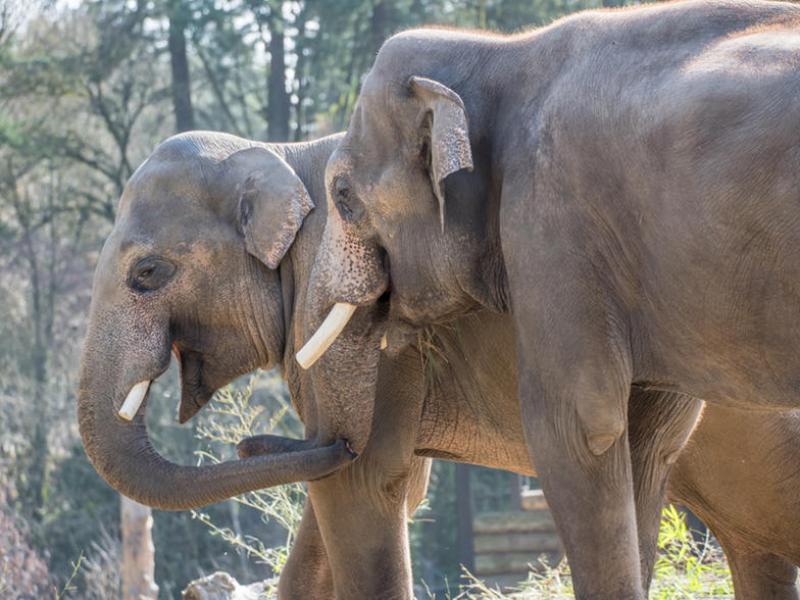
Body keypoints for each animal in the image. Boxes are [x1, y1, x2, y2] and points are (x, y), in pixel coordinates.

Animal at [79, 130, 800, 600]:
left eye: (148, 274)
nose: (250, 442)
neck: (281, 153)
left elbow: (366, 483)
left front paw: (353, 461)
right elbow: (352, 499)